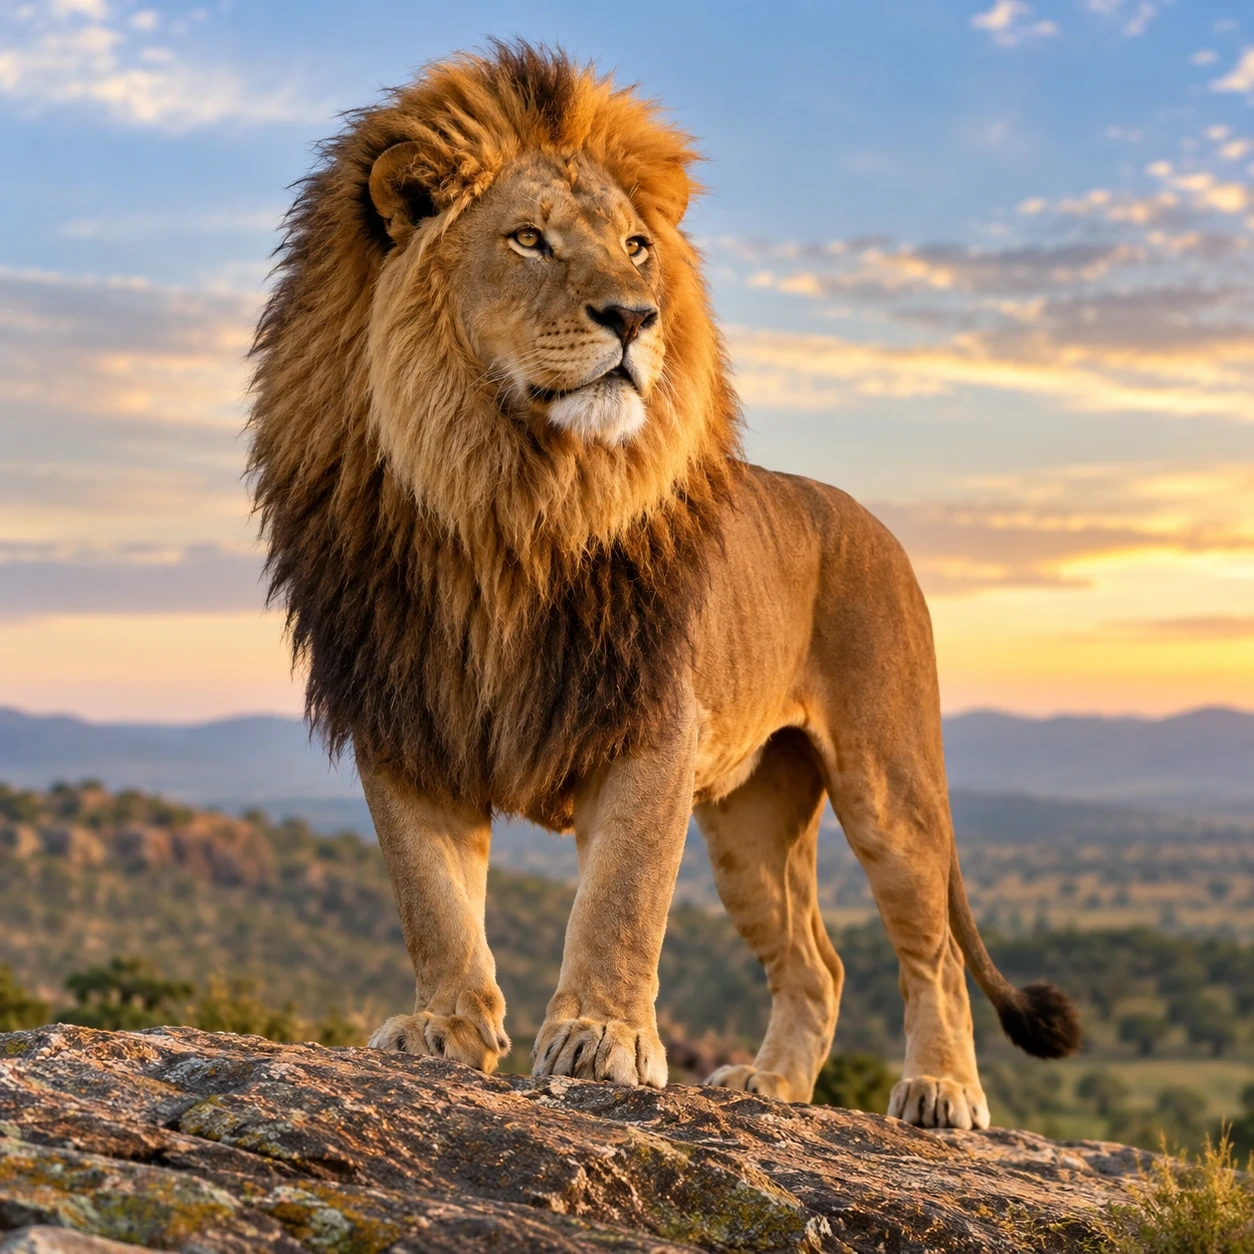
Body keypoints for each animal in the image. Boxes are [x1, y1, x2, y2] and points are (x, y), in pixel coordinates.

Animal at [248, 41, 1080, 1130]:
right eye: (528, 240)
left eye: (638, 248)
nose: (635, 317)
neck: (506, 503)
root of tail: (865, 515)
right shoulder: (406, 711)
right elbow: (431, 899)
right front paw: (444, 1028)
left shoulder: (647, 715)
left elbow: (622, 897)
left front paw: (602, 1039)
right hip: (751, 825)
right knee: (819, 964)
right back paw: (772, 1086)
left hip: (887, 782)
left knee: (929, 949)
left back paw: (941, 1093)